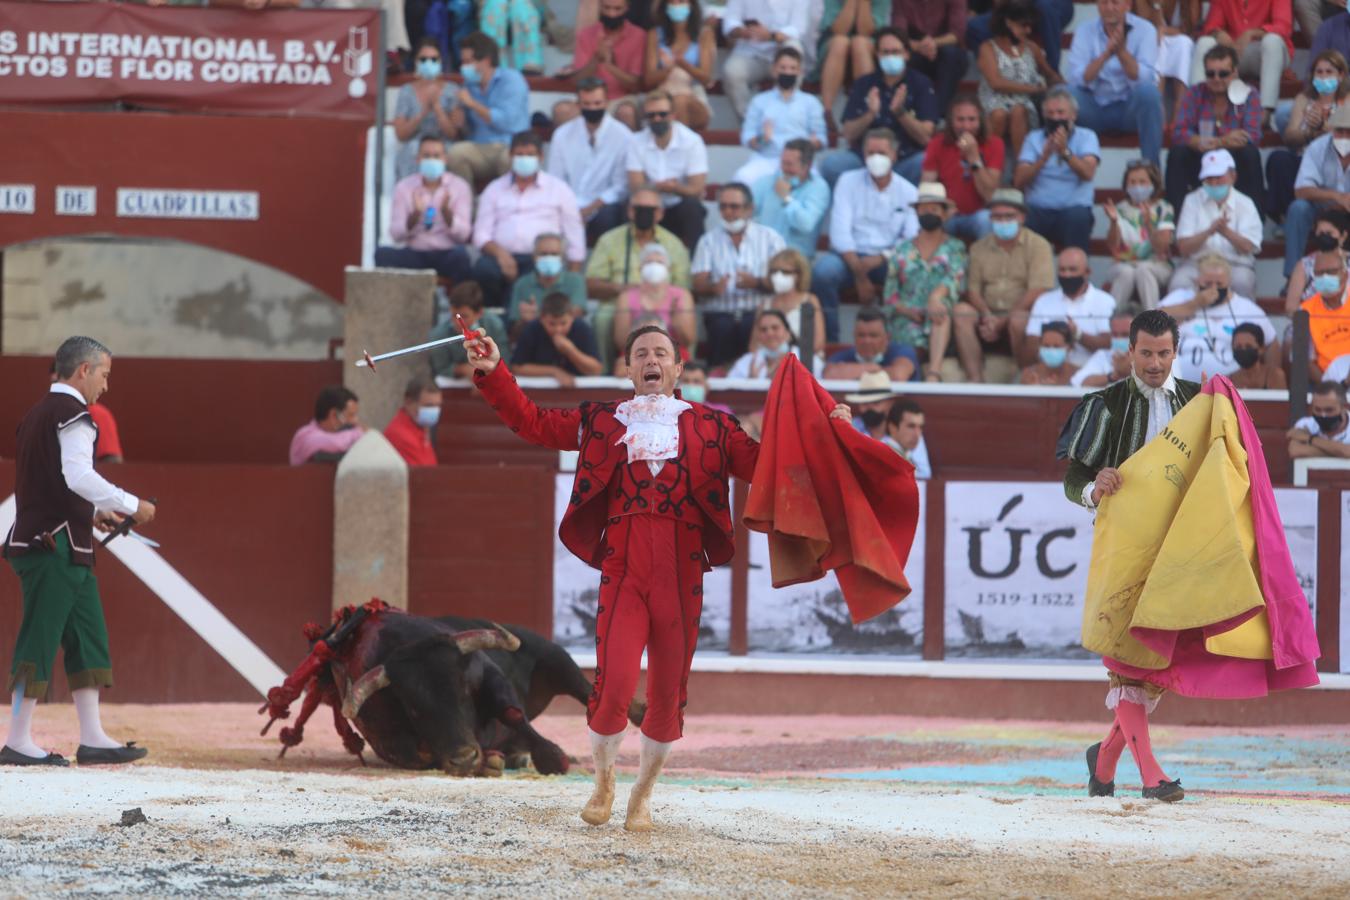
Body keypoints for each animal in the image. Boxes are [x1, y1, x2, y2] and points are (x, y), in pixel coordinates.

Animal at [263, 601, 648, 777]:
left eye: (464, 691)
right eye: (413, 708)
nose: (464, 757)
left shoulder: (492, 677)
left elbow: (513, 713)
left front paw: (552, 756)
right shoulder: (386, 738)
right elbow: (416, 754)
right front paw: (488, 759)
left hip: (557, 659)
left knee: (587, 691)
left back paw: (639, 713)